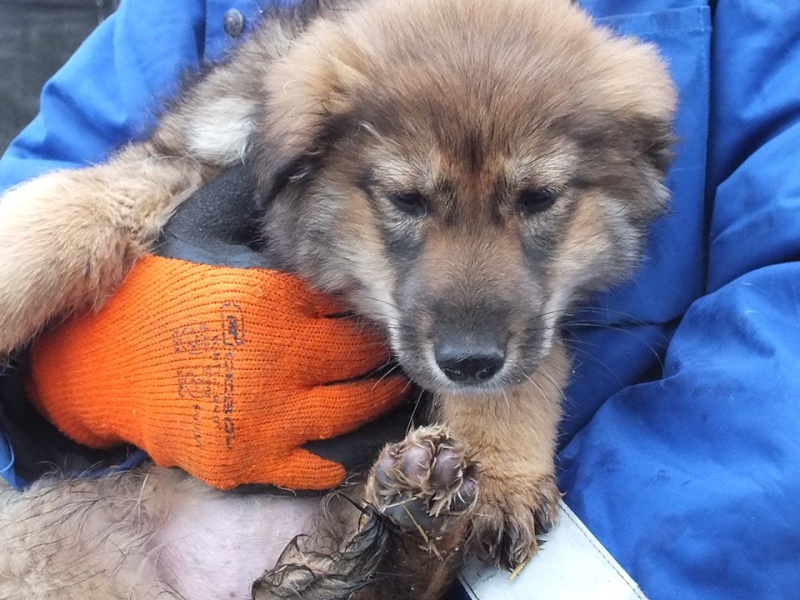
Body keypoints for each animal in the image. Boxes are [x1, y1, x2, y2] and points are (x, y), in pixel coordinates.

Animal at [0, 0, 676, 596]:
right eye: (406, 200)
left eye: (539, 199)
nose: (470, 362)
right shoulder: (185, 159)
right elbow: (79, 204)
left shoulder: (537, 317)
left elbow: (537, 362)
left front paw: (502, 467)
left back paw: (419, 512)